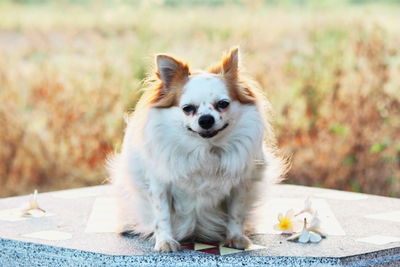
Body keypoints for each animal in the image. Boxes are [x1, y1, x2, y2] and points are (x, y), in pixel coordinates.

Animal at [108, 47, 284, 253]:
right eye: (187, 108)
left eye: (223, 104)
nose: (206, 119)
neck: (206, 150)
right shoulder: (159, 184)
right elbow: (162, 214)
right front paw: (165, 241)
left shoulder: (240, 185)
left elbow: (236, 212)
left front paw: (235, 238)